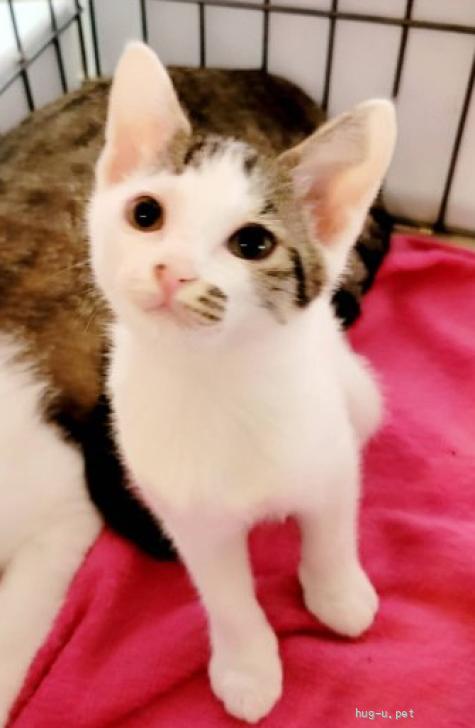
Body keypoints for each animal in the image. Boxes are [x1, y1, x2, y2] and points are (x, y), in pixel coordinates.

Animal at [0, 47, 393, 725]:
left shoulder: (329, 454)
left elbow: (333, 527)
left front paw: (338, 593)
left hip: (358, 395)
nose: (172, 269)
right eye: (146, 214)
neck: (217, 385)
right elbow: (226, 594)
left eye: (253, 242)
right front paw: (248, 666)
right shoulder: (186, 513)